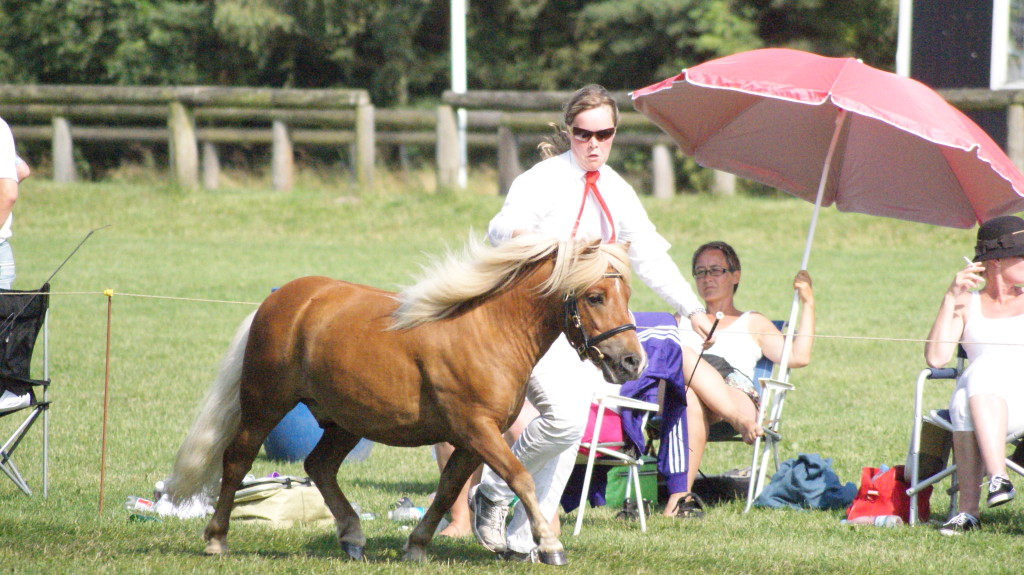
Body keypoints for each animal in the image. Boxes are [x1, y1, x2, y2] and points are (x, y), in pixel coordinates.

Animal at [165, 234, 647, 564]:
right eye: (595, 296)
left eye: (627, 294)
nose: (631, 362)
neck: (488, 331)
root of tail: (279, 300)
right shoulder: (478, 430)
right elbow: (520, 477)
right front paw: (549, 544)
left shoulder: (472, 439)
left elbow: (448, 490)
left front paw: (416, 546)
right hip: (264, 404)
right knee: (236, 460)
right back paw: (216, 538)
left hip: (346, 422)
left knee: (319, 467)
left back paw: (352, 537)